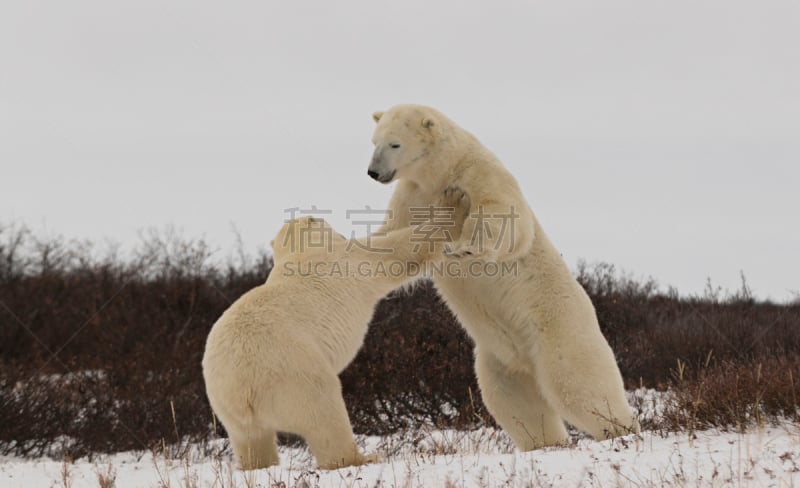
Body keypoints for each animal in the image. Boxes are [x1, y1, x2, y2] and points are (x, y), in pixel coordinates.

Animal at [200, 187, 472, 468]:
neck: (300, 254)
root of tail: (241, 391)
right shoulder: (347, 259)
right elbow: (396, 251)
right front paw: (453, 200)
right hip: (294, 374)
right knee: (326, 416)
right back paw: (362, 456)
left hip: (227, 410)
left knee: (253, 443)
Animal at [368, 105, 636, 452]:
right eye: (373, 141)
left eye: (394, 144)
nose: (373, 172)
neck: (437, 173)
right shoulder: (411, 197)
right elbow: (393, 237)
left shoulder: (479, 173)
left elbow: (504, 216)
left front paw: (465, 248)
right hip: (499, 362)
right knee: (517, 406)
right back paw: (545, 443)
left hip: (560, 331)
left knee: (580, 385)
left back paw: (621, 430)